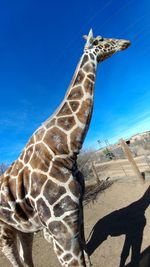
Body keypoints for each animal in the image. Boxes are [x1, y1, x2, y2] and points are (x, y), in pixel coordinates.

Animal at [0, 29, 130, 267]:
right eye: (100, 39)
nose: (126, 42)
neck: (64, 150)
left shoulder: (77, 210)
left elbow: (87, 256)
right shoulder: (59, 222)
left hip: (23, 226)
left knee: (25, 254)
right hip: (5, 228)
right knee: (11, 253)